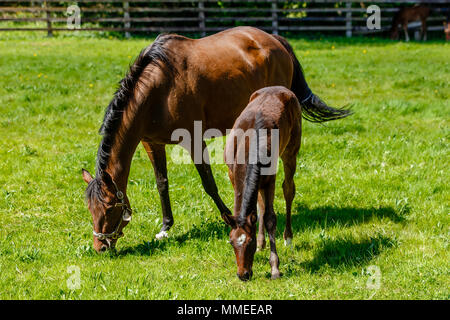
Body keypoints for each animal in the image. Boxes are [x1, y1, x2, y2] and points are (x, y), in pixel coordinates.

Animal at [82, 26, 354, 252]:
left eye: (109, 207)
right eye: (89, 208)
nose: (100, 247)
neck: (159, 90)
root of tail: (274, 39)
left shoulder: (193, 139)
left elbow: (208, 183)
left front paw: (227, 218)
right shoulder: (151, 142)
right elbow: (162, 183)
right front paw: (166, 227)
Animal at [222, 87, 302, 280]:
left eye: (248, 242)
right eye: (231, 242)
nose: (243, 274)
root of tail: (280, 88)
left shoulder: (270, 177)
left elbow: (270, 218)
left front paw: (275, 268)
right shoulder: (232, 174)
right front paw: (261, 245)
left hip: (291, 150)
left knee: (288, 189)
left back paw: (288, 238)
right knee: (259, 203)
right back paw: (262, 243)